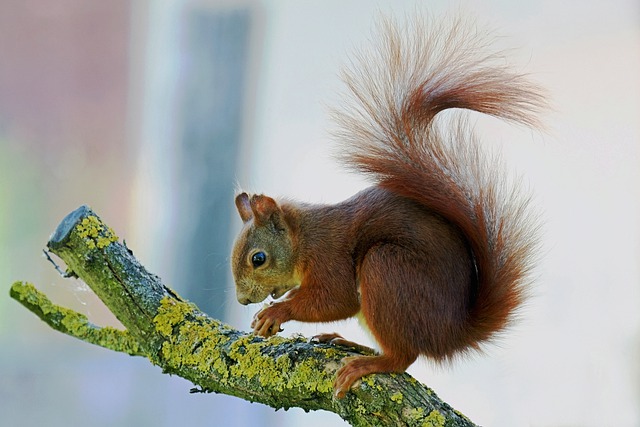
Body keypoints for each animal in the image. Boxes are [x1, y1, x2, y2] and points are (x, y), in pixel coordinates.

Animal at [230, 15, 544, 398]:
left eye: (258, 259)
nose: (243, 300)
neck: (304, 239)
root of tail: (450, 335)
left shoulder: (329, 257)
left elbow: (336, 299)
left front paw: (277, 311)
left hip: (387, 271)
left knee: (404, 357)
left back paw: (369, 362)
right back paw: (352, 344)